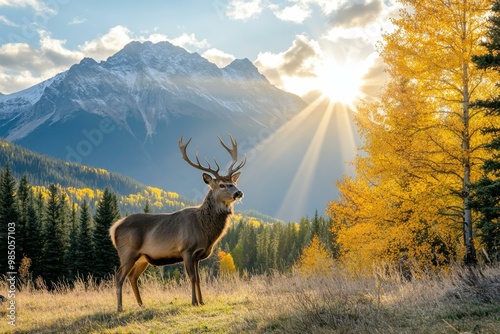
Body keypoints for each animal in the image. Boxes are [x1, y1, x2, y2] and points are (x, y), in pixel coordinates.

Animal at [108, 134, 245, 312]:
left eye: (234, 183)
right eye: (222, 185)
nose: (239, 192)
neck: (204, 230)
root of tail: (114, 228)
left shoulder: (198, 256)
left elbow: (199, 278)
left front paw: (202, 301)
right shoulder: (186, 249)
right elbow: (192, 277)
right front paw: (194, 302)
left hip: (142, 258)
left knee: (132, 277)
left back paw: (141, 305)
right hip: (127, 251)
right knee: (119, 276)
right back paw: (120, 308)